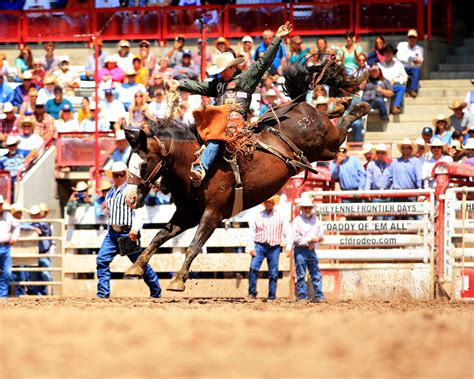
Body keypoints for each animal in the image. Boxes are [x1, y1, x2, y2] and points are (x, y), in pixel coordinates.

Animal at [120, 60, 368, 290]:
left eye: (144, 163)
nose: (129, 198)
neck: (193, 166)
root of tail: (300, 107)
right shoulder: (187, 214)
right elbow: (160, 235)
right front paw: (136, 267)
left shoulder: (213, 214)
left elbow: (194, 245)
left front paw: (178, 280)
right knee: (331, 114)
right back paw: (342, 104)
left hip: (328, 146)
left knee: (342, 128)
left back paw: (359, 107)